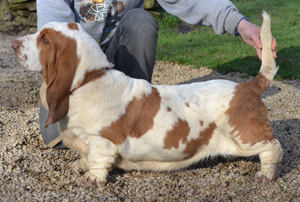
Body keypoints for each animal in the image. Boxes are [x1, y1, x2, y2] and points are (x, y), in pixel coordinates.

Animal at [11, 11, 282, 187]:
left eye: (45, 39)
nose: (13, 44)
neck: (88, 80)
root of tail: (248, 86)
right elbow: (85, 156)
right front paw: (81, 165)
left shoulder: (101, 141)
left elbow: (98, 159)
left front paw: (93, 178)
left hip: (245, 138)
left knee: (273, 147)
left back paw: (266, 175)